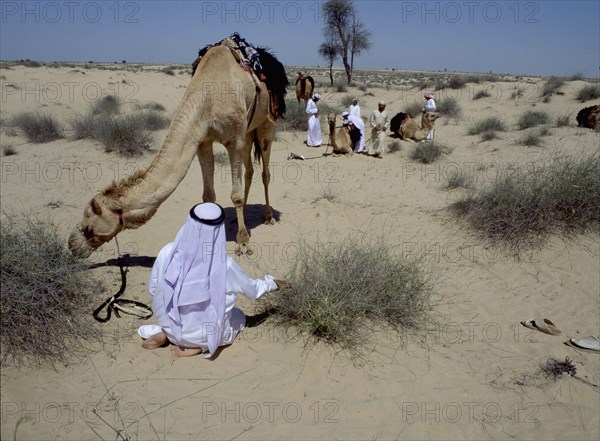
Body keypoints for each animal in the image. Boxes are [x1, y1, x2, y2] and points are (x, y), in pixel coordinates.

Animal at [68, 40, 288, 258]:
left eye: (88, 227)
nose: (72, 245)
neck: (208, 95)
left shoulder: (234, 140)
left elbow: (236, 195)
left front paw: (243, 242)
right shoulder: (202, 141)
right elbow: (208, 196)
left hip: (266, 126)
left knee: (265, 171)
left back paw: (268, 216)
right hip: (249, 131)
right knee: (249, 170)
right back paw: (241, 218)